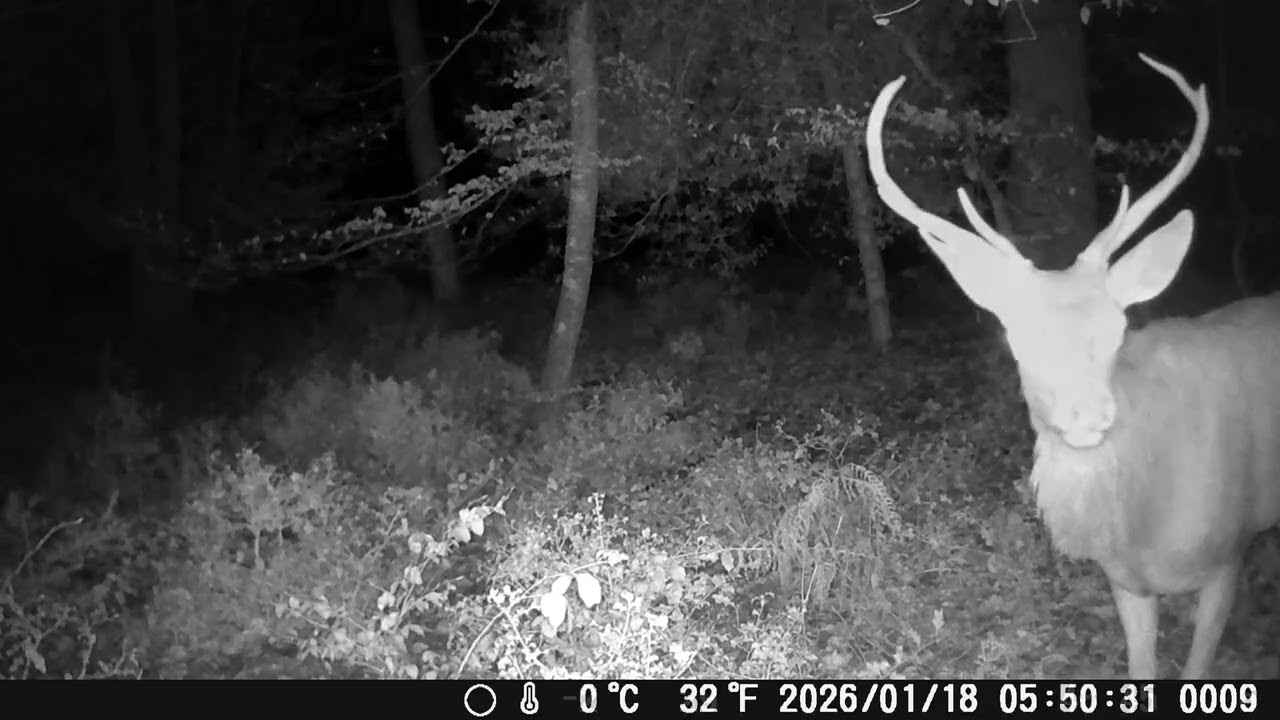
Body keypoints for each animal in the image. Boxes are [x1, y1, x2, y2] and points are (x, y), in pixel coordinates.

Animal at [864, 53, 1280, 680]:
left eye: (1118, 329)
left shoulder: (1231, 552)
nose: (1088, 416)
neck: (1151, 524)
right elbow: (1142, 671)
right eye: (1017, 338)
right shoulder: (1125, 581)